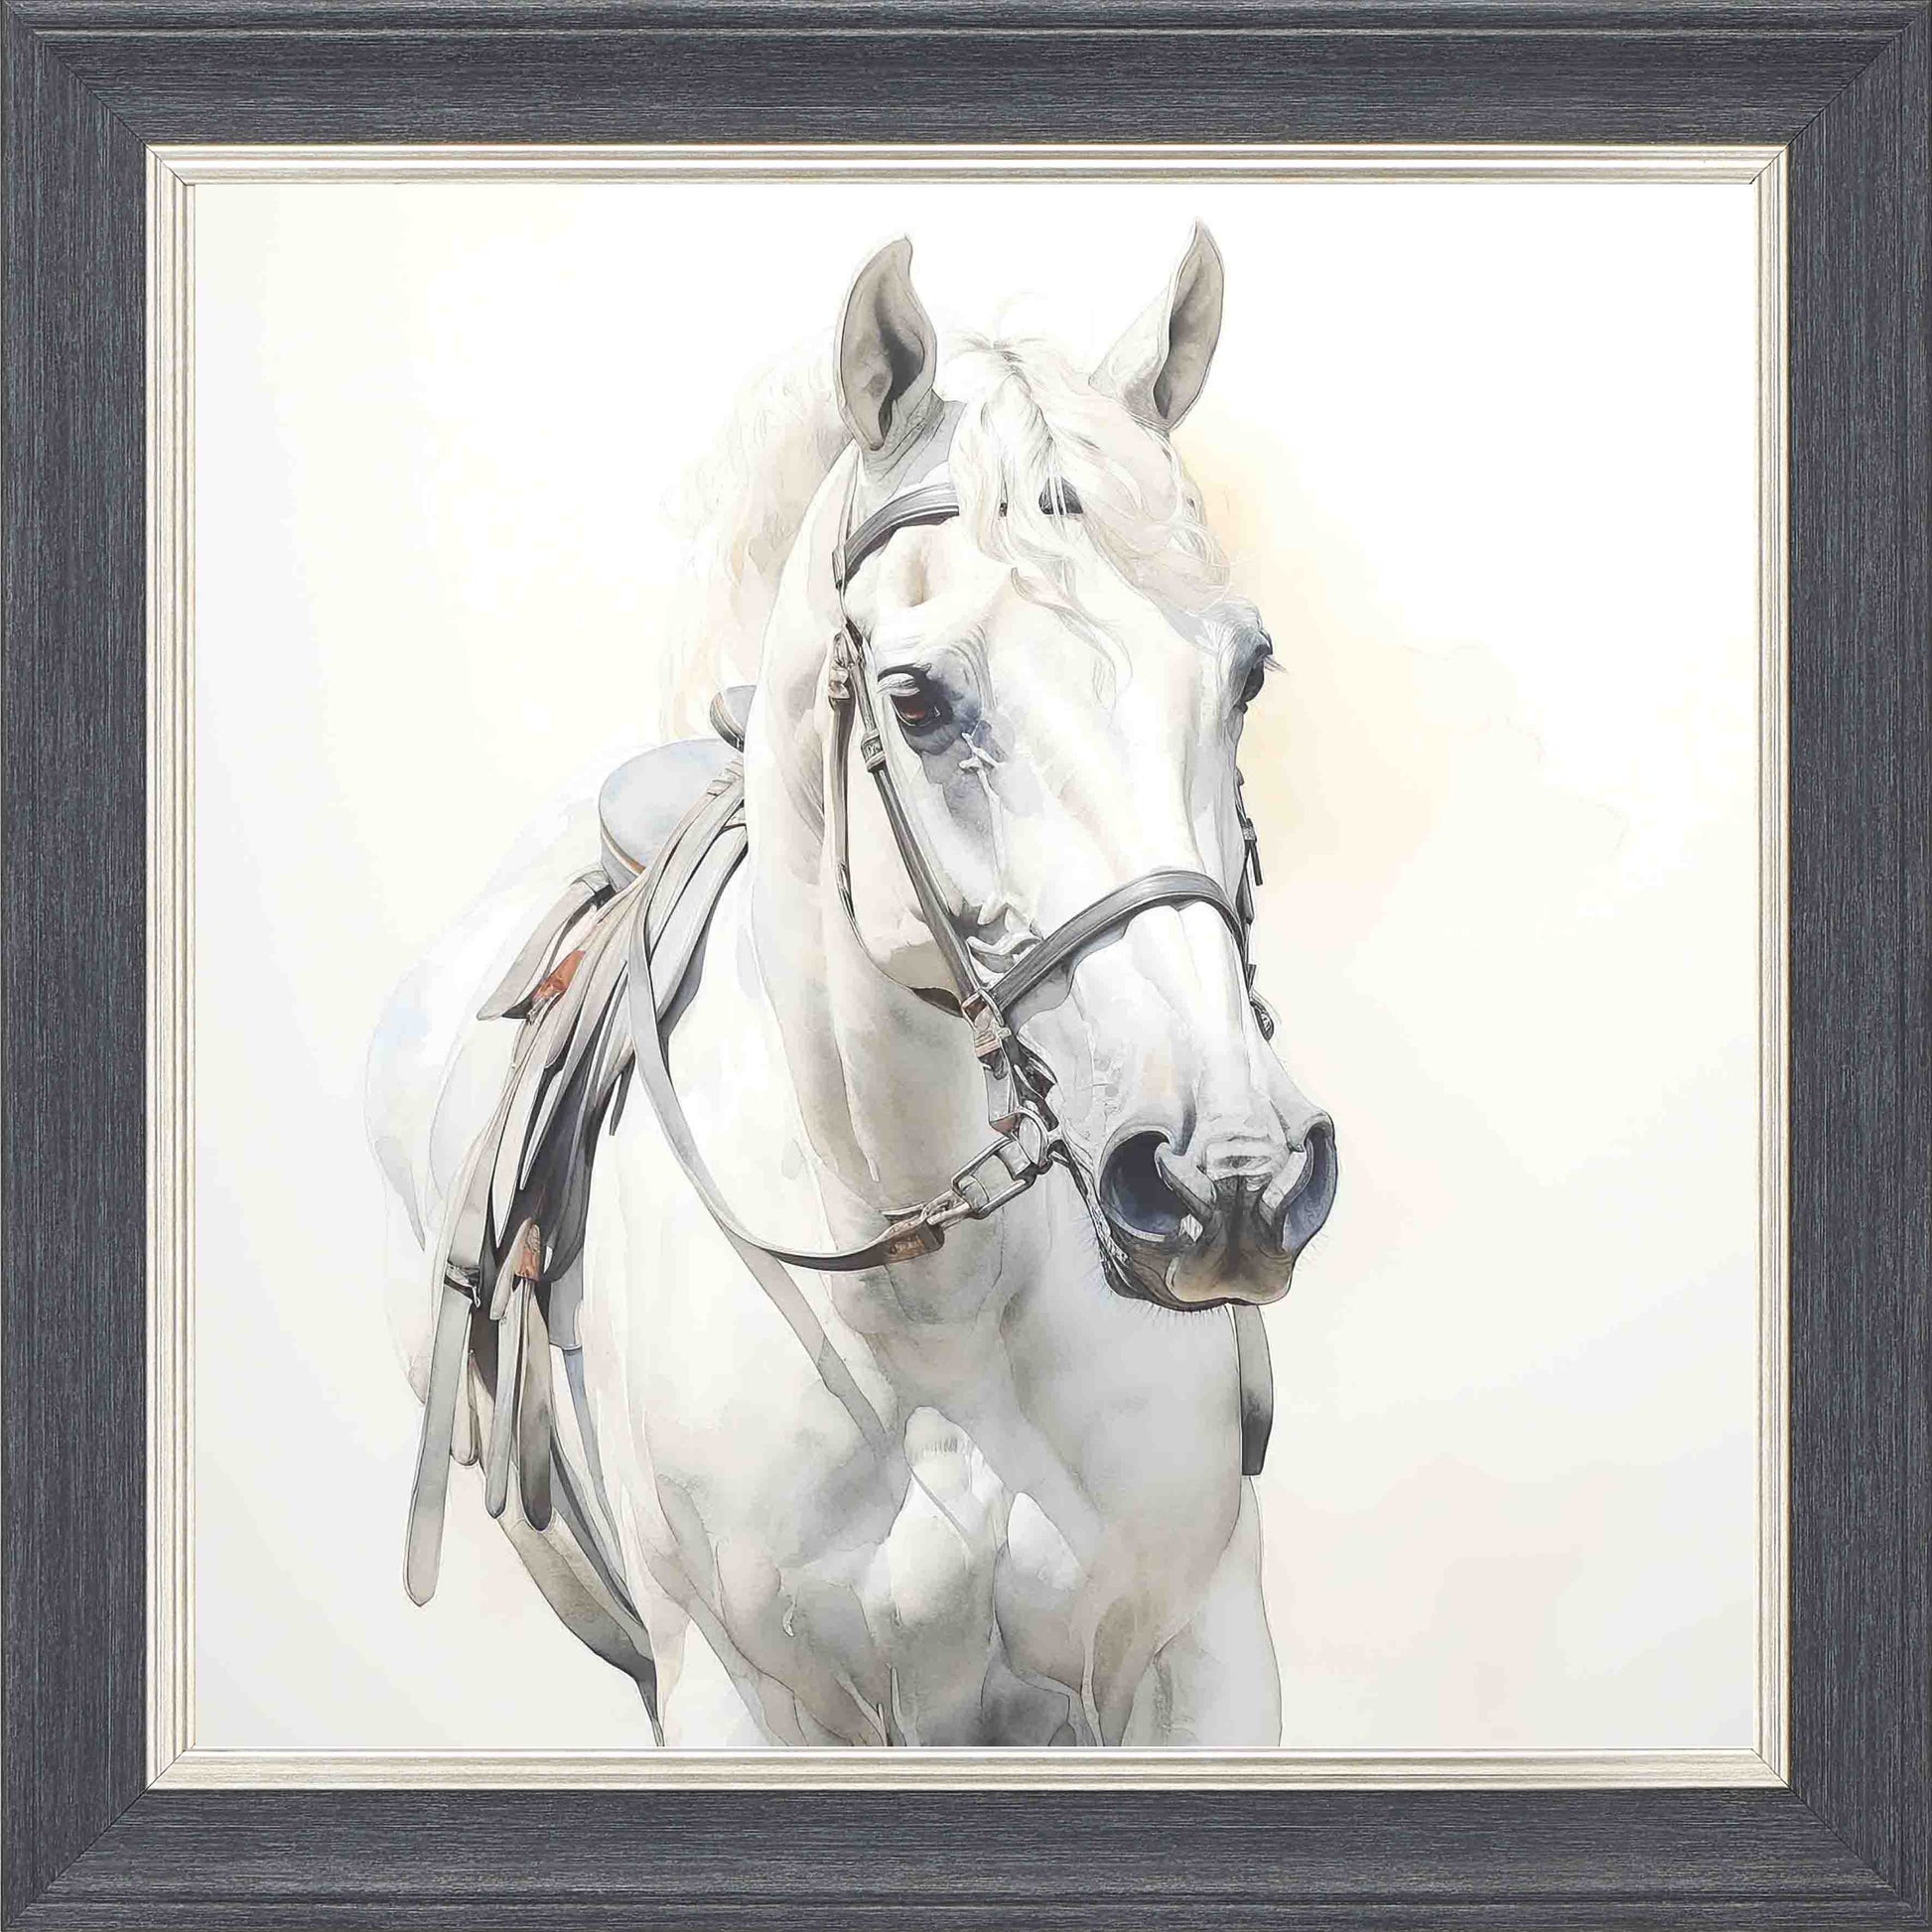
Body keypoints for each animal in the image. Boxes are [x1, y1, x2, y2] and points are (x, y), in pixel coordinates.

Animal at [366, 223, 1338, 1748]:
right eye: (920, 700)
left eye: (1247, 670)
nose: (1225, 1177)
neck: (928, 1311)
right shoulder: (738, 1697)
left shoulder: (1205, 1660)